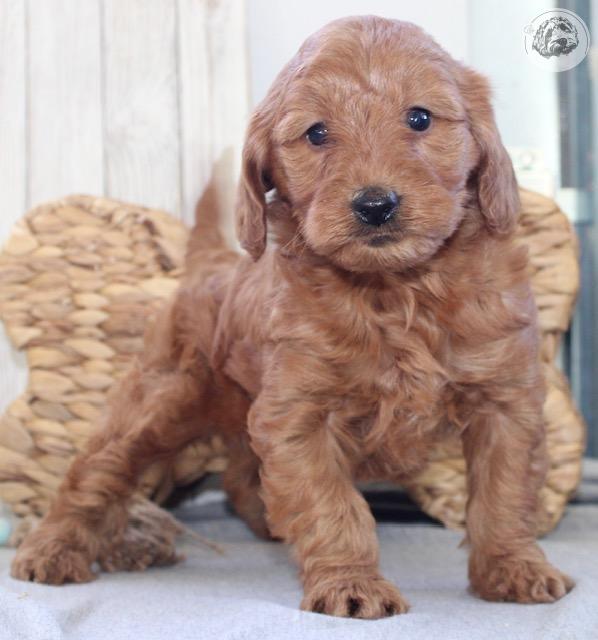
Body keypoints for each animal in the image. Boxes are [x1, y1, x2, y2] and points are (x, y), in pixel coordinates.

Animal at [11, 16, 573, 618]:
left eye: (420, 118)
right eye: (317, 133)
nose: (375, 205)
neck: (395, 291)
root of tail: (210, 264)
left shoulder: (505, 401)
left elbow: (503, 494)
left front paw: (513, 568)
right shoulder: (299, 414)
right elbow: (332, 504)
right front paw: (351, 584)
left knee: (240, 477)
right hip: (157, 404)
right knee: (96, 471)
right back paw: (52, 550)